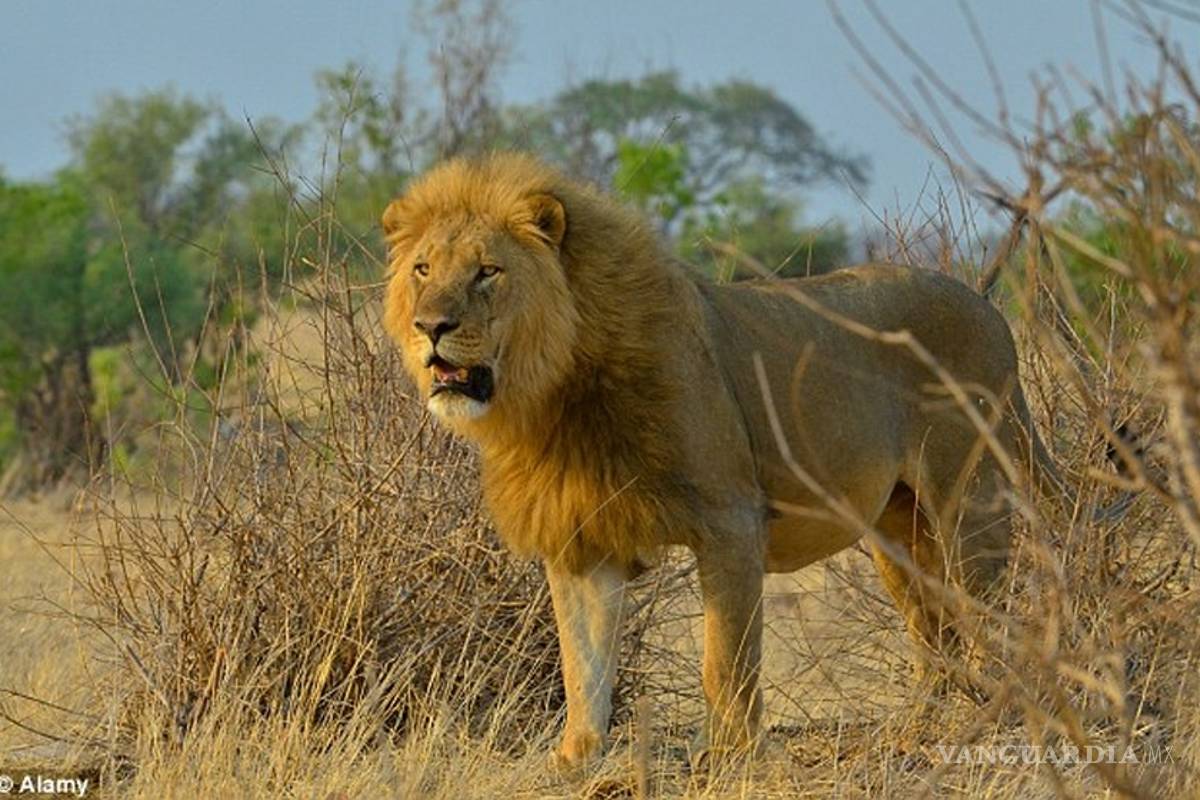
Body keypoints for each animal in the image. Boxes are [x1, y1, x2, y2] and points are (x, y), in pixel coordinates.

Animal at [381, 153, 1051, 769]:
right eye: (423, 269)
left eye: (487, 272)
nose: (429, 326)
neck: (557, 392)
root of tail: (988, 307)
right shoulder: (580, 539)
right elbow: (583, 663)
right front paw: (575, 758)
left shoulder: (730, 521)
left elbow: (725, 658)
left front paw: (728, 755)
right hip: (897, 530)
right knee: (932, 631)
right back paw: (915, 732)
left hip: (969, 504)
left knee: (990, 617)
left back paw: (987, 726)